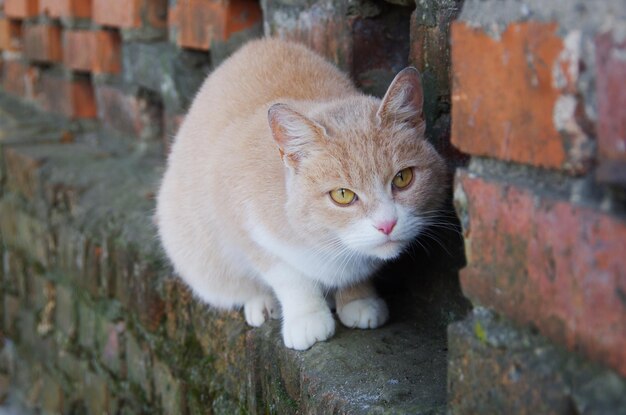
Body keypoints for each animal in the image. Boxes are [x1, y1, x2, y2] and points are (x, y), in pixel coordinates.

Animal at [157, 38, 448, 352]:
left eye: (403, 179)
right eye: (343, 195)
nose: (387, 224)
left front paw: (358, 299)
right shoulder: (242, 223)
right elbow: (289, 277)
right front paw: (307, 317)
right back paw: (262, 302)